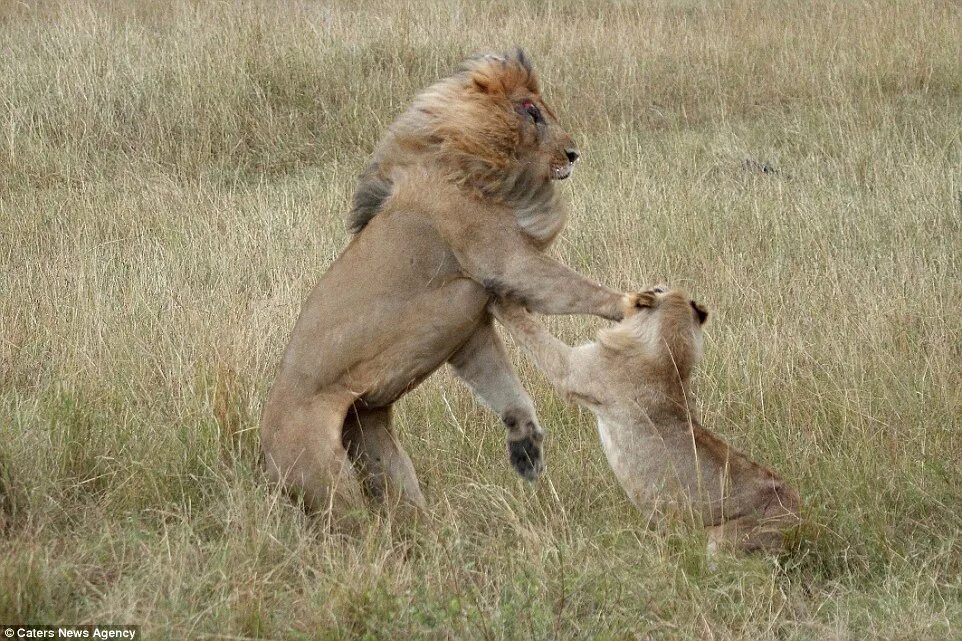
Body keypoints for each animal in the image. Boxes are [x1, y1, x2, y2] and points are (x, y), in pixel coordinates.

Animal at [262, 52, 636, 516]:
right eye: (531, 111)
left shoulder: (470, 323)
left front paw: (526, 446)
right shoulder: (506, 262)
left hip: (372, 439)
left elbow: (504, 386)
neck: (472, 161)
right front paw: (639, 303)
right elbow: (574, 288)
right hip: (323, 476)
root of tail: (263, 440)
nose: (573, 153)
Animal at [492, 288, 800, 552]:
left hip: (725, 539)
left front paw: (497, 297)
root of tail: (803, 519)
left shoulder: (574, 370)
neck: (670, 354)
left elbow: (529, 330)